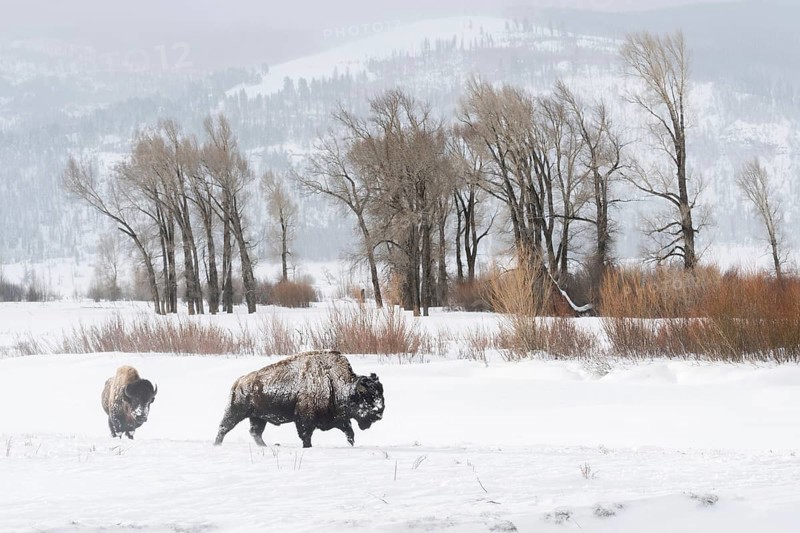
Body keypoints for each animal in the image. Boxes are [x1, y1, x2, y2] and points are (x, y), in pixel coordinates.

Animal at [214, 351, 384, 448]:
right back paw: (217, 445)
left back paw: (264, 447)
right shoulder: (304, 420)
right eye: (366, 397)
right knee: (223, 427)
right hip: (236, 412)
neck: (334, 382)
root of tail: (239, 381)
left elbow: (350, 433)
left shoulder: (340, 420)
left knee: (255, 432)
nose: (379, 412)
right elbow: (306, 436)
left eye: (380, 394)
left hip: (258, 417)